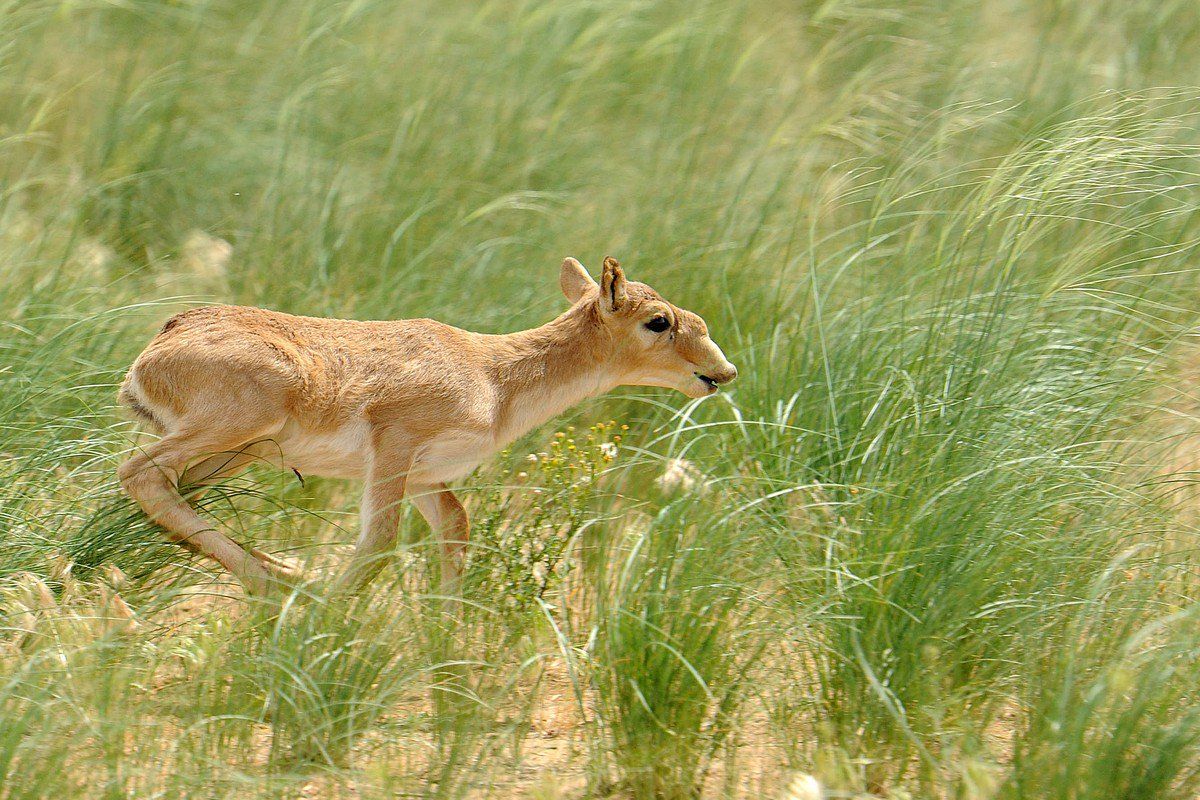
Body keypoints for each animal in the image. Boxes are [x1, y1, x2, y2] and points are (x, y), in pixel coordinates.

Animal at [117, 257, 734, 594]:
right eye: (658, 321)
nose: (722, 372)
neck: (495, 378)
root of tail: (157, 346)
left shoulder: (427, 478)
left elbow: (456, 526)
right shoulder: (394, 447)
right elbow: (380, 543)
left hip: (239, 453)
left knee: (174, 493)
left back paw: (285, 573)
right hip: (237, 427)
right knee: (139, 475)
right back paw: (286, 583)